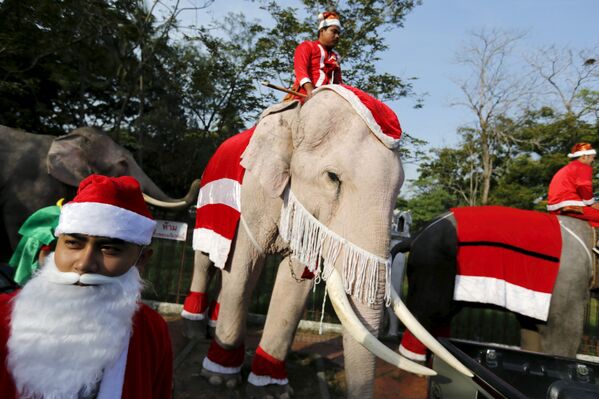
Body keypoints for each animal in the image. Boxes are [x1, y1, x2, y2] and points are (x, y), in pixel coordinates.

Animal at [180, 85, 472, 399]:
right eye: (333, 178)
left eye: (400, 189)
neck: (297, 114)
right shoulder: (254, 193)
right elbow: (244, 267)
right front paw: (221, 379)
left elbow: (295, 284)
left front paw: (271, 389)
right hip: (208, 207)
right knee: (206, 260)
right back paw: (196, 333)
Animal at [394, 209, 596, 362]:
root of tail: (415, 236)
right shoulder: (567, 280)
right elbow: (562, 335)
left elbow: (531, 331)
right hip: (433, 268)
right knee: (426, 316)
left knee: (441, 319)